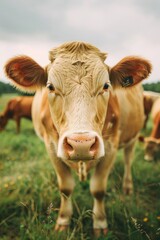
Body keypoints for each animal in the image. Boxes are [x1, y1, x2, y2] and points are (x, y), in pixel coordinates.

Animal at [3, 41, 151, 236]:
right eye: (50, 87)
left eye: (106, 85)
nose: (82, 144)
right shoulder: (52, 147)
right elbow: (65, 188)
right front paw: (63, 222)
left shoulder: (111, 146)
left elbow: (98, 189)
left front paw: (100, 223)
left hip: (132, 138)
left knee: (128, 160)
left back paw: (127, 187)